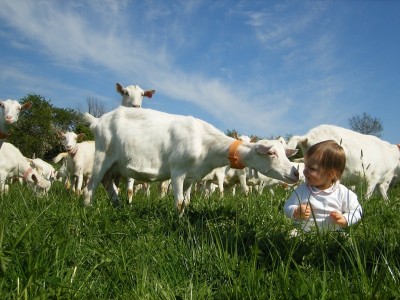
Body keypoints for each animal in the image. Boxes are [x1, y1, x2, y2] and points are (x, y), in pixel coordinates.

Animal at [83, 106, 298, 214]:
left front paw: (183, 219)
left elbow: (186, 202)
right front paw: (177, 223)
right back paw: (87, 209)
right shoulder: (177, 172)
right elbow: (179, 202)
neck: (205, 143)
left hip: (115, 165)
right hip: (102, 156)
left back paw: (119, 205)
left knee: (107, 182)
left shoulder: (191, 177)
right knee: (91, 185)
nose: (296, 173)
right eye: (271, 153)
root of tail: (97, 121)